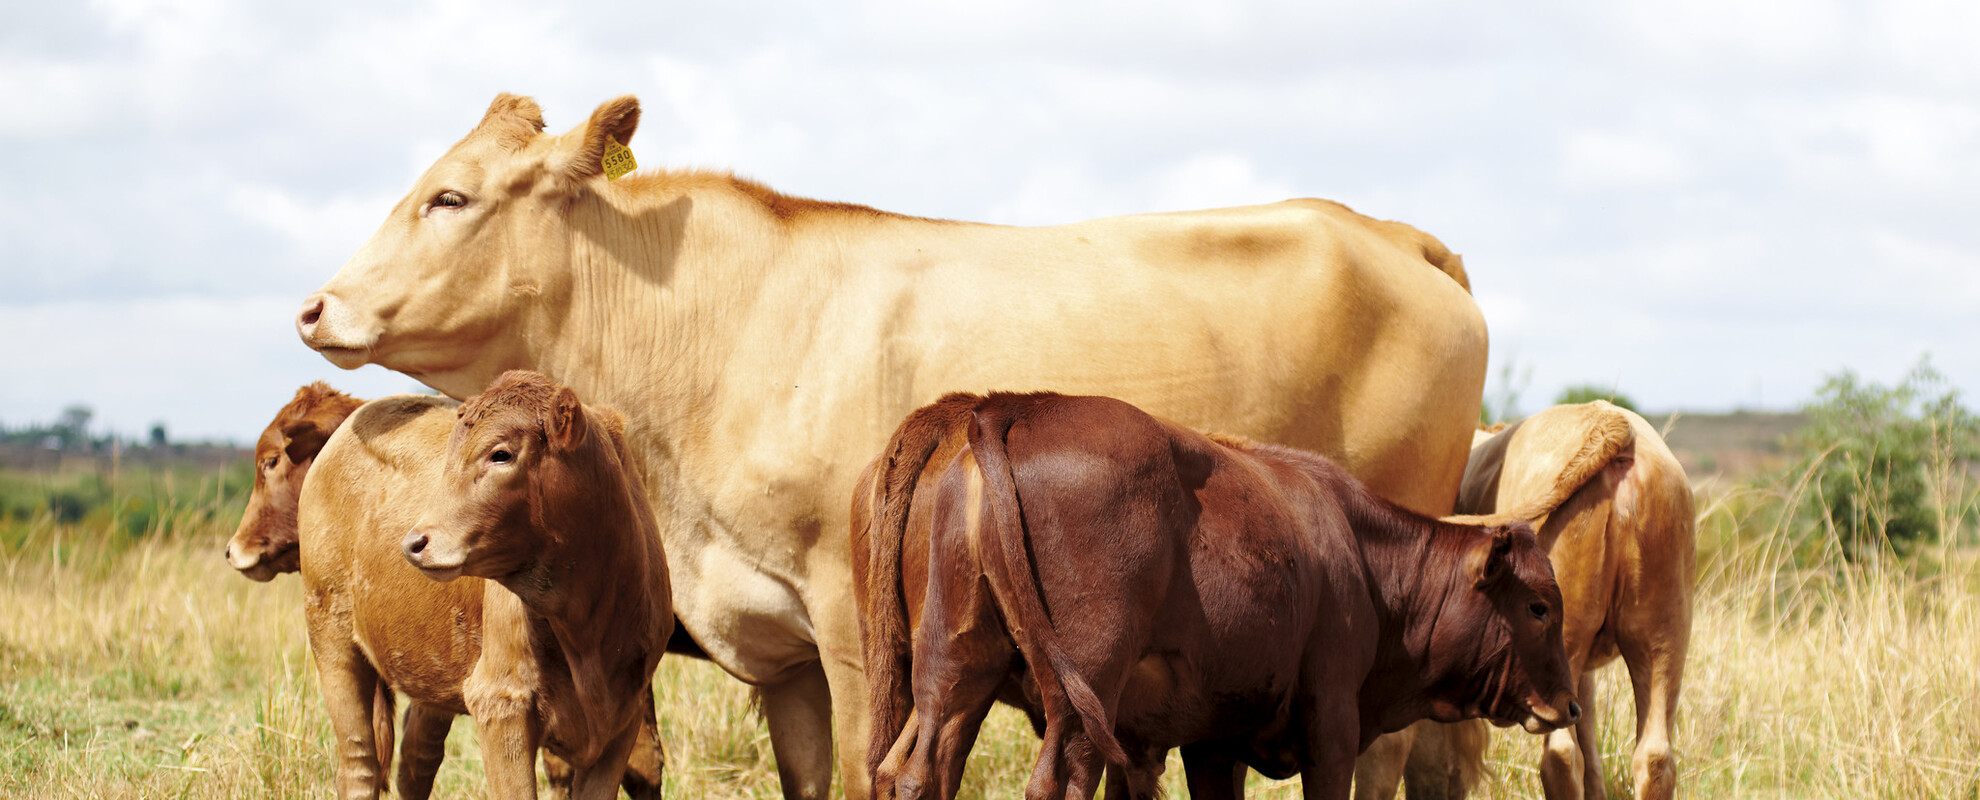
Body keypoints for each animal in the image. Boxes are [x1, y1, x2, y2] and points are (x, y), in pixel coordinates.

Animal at [851, 396, 1576, 800]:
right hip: (1083, 696)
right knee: (1056, 783)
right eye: (1540, 605)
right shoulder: (1332, 728)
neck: (1362, 560)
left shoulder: (1210, 742)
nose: (1568, 704)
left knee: (912, 771)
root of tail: (1015, 408)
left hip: (952, 672)